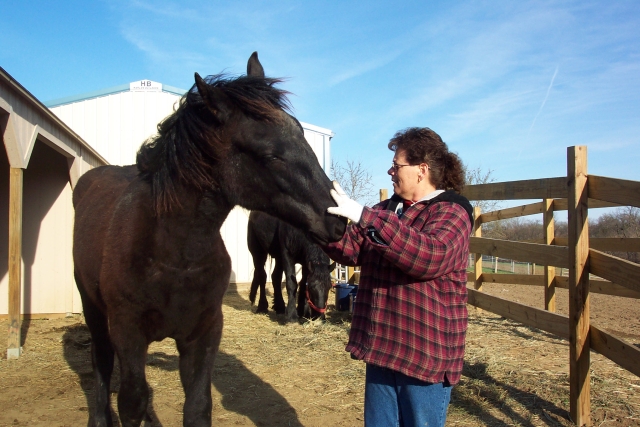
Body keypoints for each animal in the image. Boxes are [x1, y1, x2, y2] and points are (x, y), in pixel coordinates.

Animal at [72, 51, 348, 426]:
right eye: (269, 153)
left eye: (302, 134)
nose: (339, 220)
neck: (173, 255)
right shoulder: (128, 333)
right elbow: (132, 402)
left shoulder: (203, 334)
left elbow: (198, 407)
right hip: (95, 311)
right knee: (101, 362)